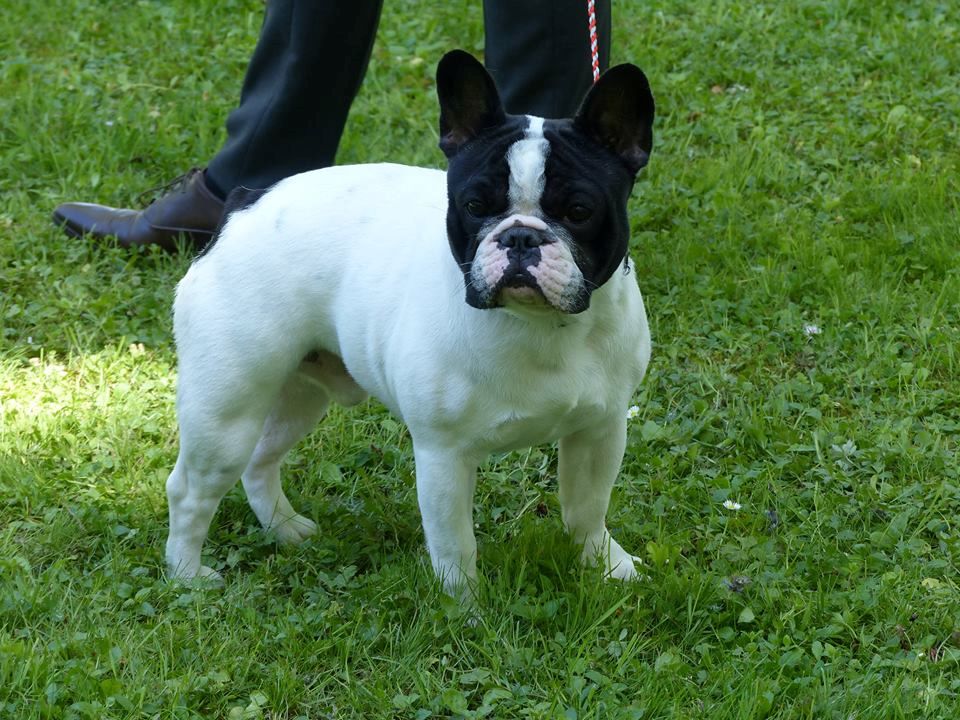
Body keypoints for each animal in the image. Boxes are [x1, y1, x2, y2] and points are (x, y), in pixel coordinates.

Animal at [164, 50, 655, 597]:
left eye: (579, 211)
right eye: (474, 206)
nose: (521, 238)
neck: (540, 325)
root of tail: (243, 204)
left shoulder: (600, 429)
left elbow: (588, 509)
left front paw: (607, 567)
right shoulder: (444, 454)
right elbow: (455, 544)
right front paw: (465, 607)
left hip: (297, 394)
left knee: (260, 461)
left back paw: (285, 529)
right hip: (226, 411)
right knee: (190, 490)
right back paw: (187, 577)